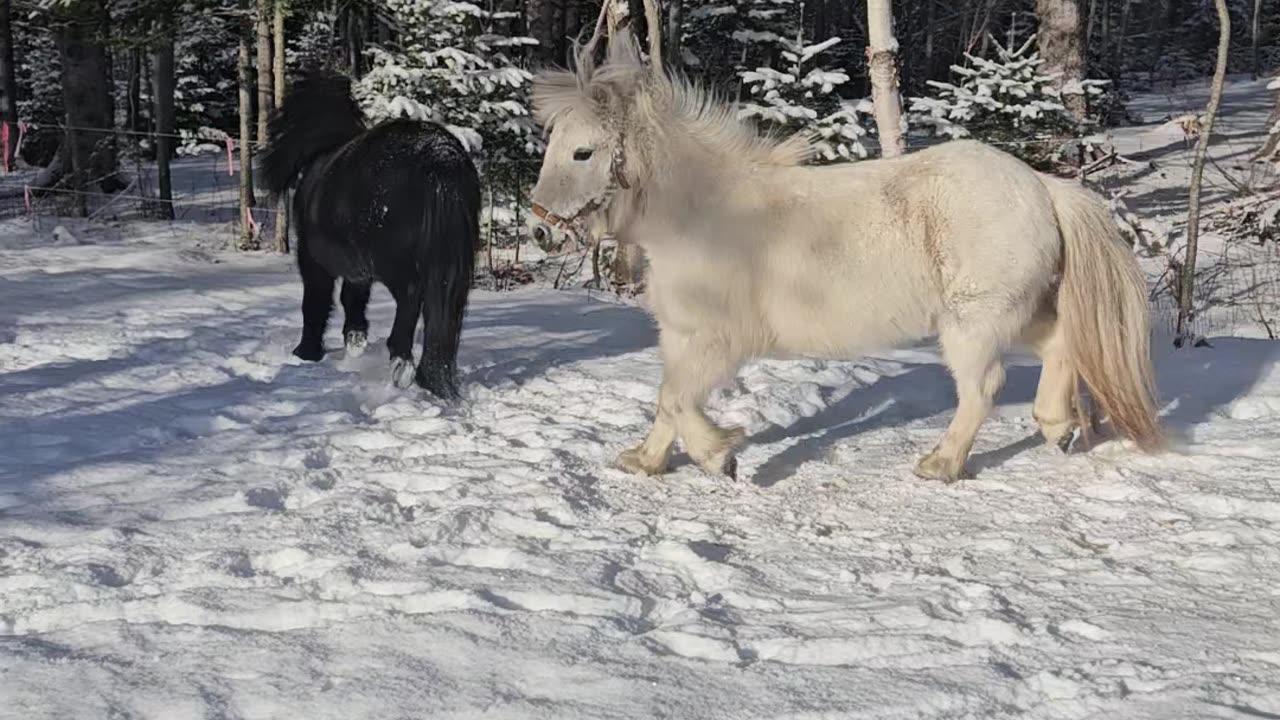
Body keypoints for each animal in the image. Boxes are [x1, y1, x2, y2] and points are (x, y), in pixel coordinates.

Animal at [257, 69, 478, 397]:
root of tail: (437, 155)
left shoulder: (313, 262)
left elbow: (316, 303)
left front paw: (307, 352)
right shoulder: (357, 269)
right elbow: (352, 298)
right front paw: (355, 339)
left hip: (394, 263)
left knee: (411, 295)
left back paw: (401, 361)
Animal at [524, 26, 1167, 481]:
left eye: (582, 152)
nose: (541, 231)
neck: (702, 215)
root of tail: (1043, 185)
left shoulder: (719, 341)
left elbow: (679, 399)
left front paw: (721, 456)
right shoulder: (682, 335)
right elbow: (666, 401)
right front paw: (646, 461)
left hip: (975, 322)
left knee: (982, 388)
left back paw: (940, 465)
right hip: (1018, 310)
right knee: (1061, 346)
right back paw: (1056, 428)